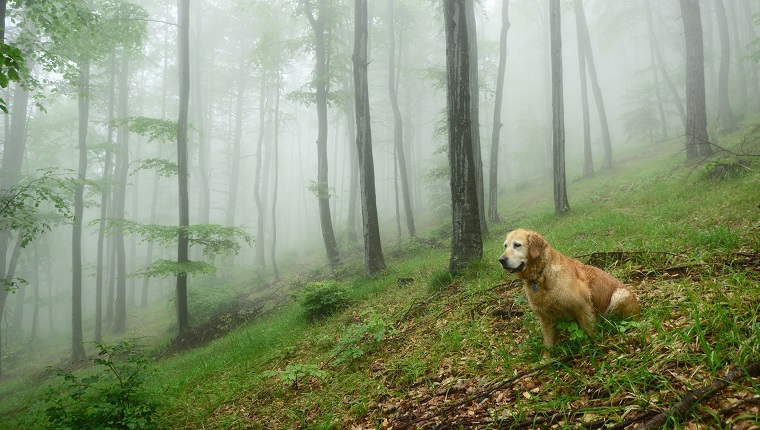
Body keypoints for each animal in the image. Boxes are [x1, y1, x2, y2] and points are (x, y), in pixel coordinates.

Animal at [498, 228, 640, 356]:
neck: (541, 275)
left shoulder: (583, 307)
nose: (501, 260)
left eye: (517, 245)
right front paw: (546, 360)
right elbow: (548, 344)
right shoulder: (545, 318)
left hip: (619, 295)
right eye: (505, 246)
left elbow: (589, 332)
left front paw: (592, 347)